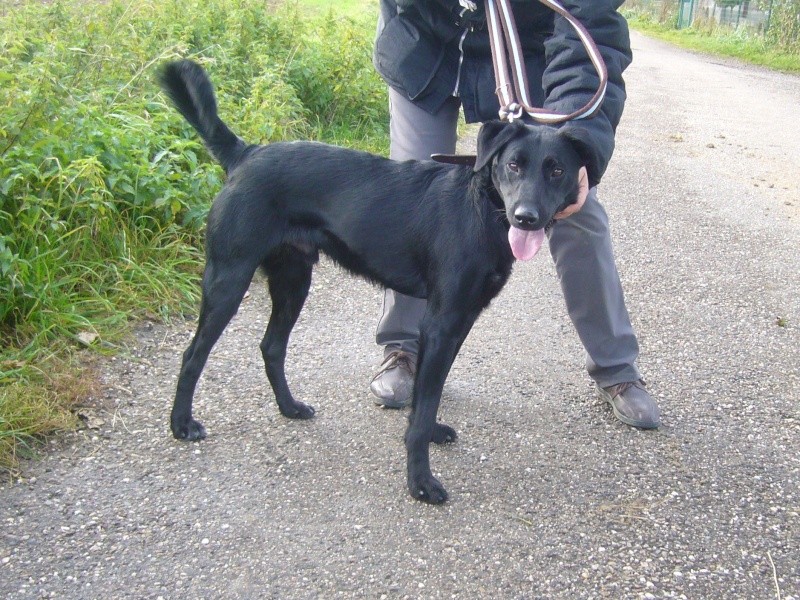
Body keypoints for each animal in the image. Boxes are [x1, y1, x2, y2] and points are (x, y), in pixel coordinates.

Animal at [158, 59, 580, 502]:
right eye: (513, 164)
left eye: (557, 170)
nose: (526, 217)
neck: (482, 209)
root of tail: (247, 153)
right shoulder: (441, 323)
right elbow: (424, 403)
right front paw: (420, 480)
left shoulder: (460, 322)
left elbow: (429, 394)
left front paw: (430, 433)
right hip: (229, 278)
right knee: (193, 355)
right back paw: (182, 423)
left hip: (294, 279)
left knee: (271, 346)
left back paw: (290, 408)